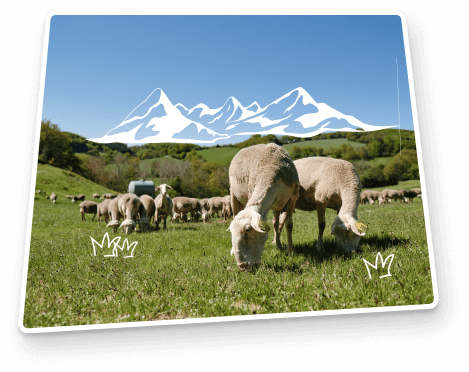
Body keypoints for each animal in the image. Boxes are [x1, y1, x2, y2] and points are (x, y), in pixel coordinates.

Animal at [228, 142, 300, 270]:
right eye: (231, 232)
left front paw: (290, 250)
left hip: (276, 205)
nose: (242, 266)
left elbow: (288, 225)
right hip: (232, 191)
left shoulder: (292, 197)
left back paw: (278, 244)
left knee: (275, 223)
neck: (269, 169)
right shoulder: (252, 190)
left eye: (248, 229)